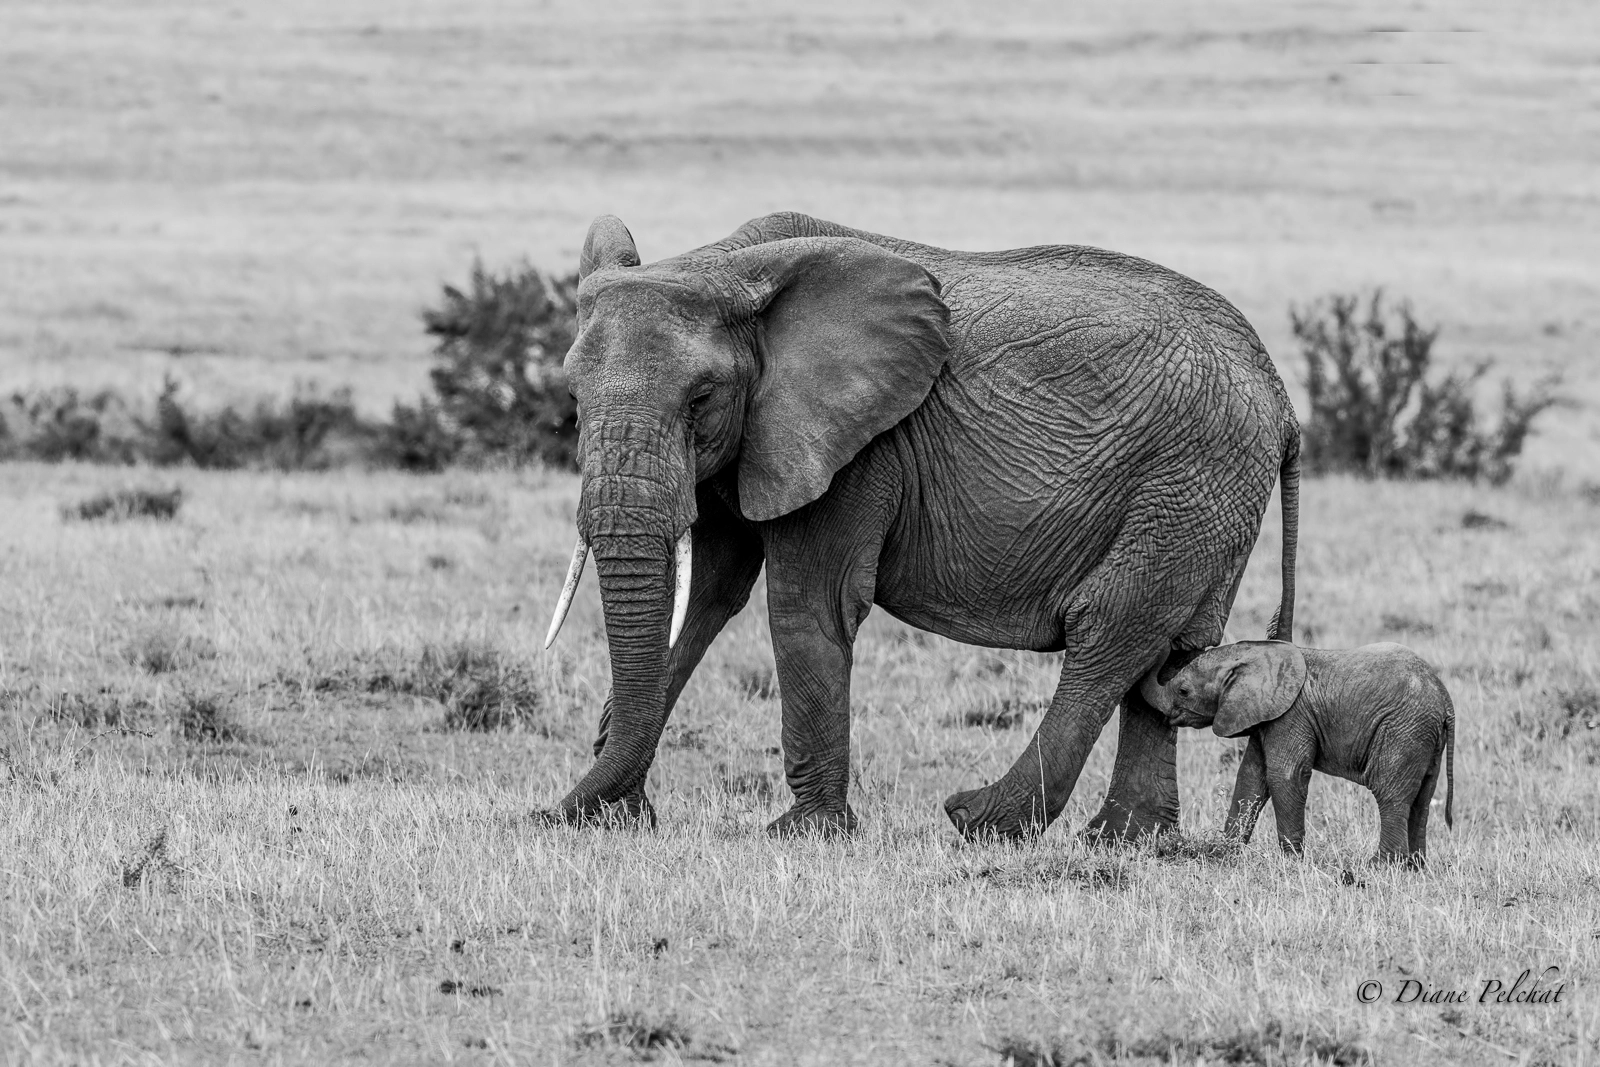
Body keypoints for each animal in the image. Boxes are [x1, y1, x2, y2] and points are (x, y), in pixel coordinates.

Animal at [544, 211, 1292, 844]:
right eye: (573, 400)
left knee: (1111, 627)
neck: (722, 266)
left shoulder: (857, 446)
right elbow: (706, 596)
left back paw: (980, 819)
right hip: (1207, 494)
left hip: (1193, 476)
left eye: (701, 398)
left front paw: (804, 833)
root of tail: (1281, 398)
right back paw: (1125, 840)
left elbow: (807, 604)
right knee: (1174, 647)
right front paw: (612, 813)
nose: (546, 815)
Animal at [1145, 643, 1459, 870]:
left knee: (1390, 793)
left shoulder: (1290, 715)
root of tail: (1445, 701)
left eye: (1183, 691)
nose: (1167, 645)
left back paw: (1378, 868)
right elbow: (1251, 778)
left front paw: (1291, 864)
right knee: (1421, 798)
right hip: (1424, 737)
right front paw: (1224, 854)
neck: (1248, 653)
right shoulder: (1265, 716)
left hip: (1403, 730)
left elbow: (1284, 775)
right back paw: (1414, 868)